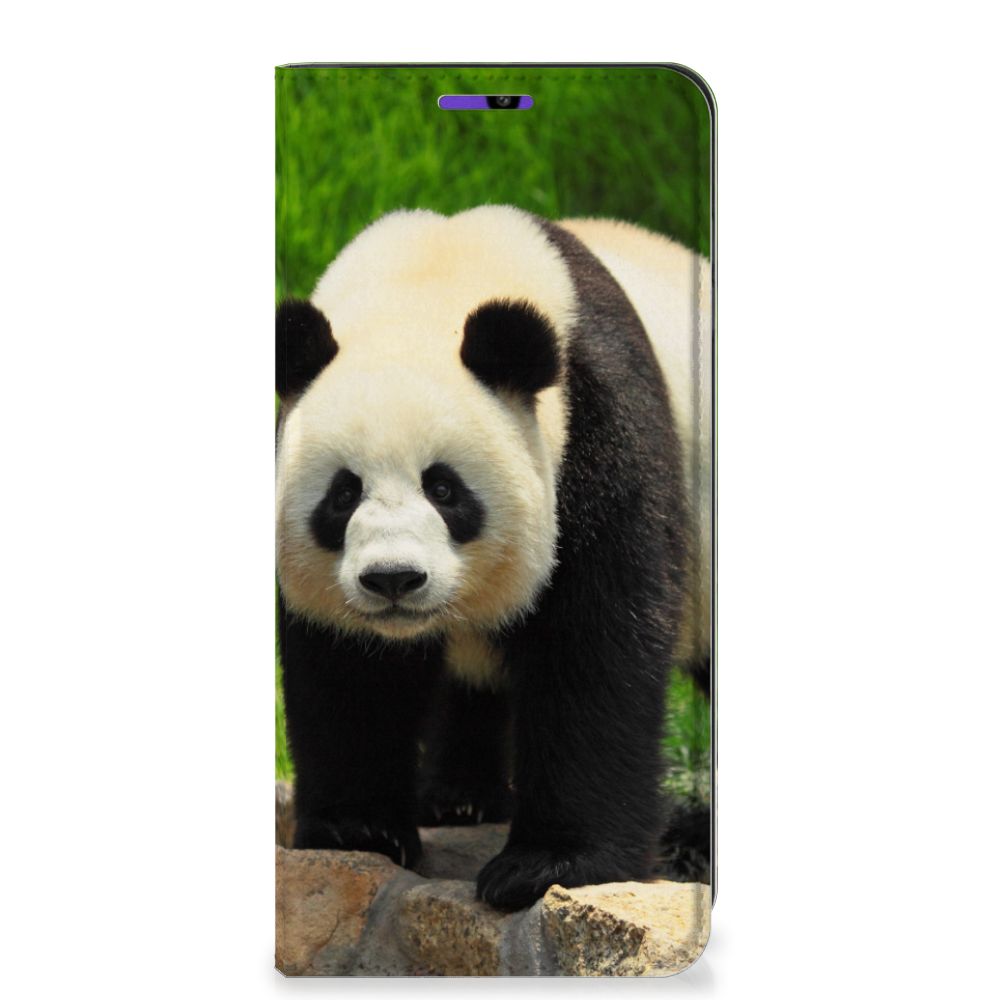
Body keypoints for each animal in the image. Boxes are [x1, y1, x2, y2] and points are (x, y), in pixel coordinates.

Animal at [276, 205, 711, 912]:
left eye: (445, 488)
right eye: (343, 493)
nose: (393, 580)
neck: (428, 281)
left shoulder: (599, 428)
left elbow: (595, 642)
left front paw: (548, 865)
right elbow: (348, 669)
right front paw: (357, 829)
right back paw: (458, 798)